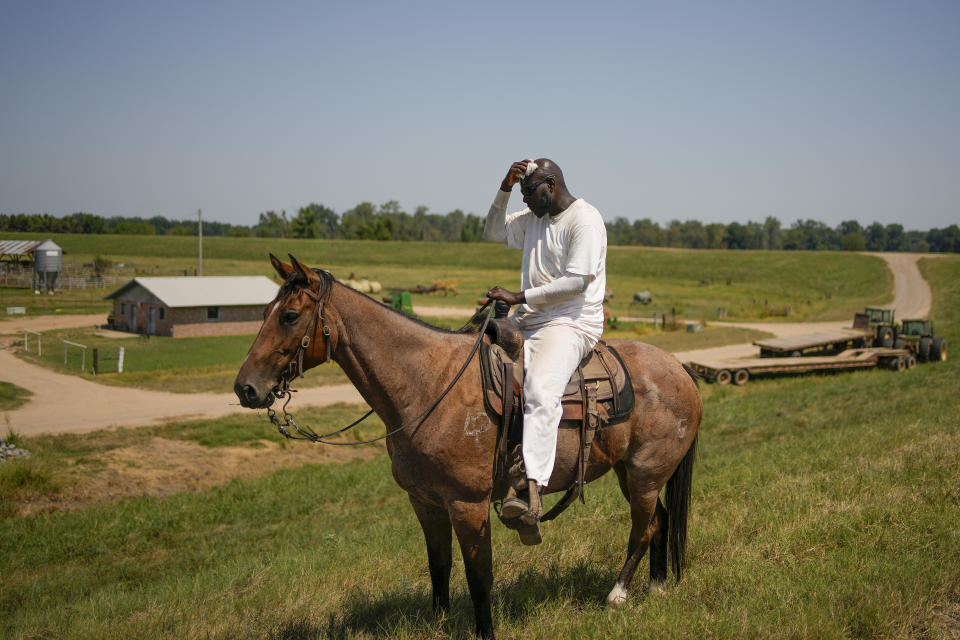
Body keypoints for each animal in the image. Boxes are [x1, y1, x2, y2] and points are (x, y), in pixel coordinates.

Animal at [232, 256, 696, 640]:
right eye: (264, 313)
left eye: (290, 315)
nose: (245, 388)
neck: (427, 384)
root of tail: (681, 368)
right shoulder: (425, 502)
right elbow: (439, 567)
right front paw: (439, 624)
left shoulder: (467, 504)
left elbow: (479, 576)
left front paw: (484, 632)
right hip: (630, 473)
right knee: (660, 521)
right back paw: (655, 587)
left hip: (645, 474)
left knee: (643, 528)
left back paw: (617, 594)